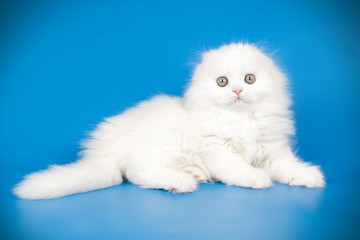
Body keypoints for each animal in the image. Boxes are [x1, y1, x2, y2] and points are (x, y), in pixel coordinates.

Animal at [13, 42, 326, 199]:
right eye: (222, 82)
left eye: (250, 79)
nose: (237, 91)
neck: (240, 120)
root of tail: (102, 154)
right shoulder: (218, 150)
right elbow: (238, 168)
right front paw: (255, 178)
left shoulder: (272, 149)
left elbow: (289, 167)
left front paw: (308, 176)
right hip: (168, 137)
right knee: (135, 173)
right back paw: (180, 181)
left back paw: (192, 173)